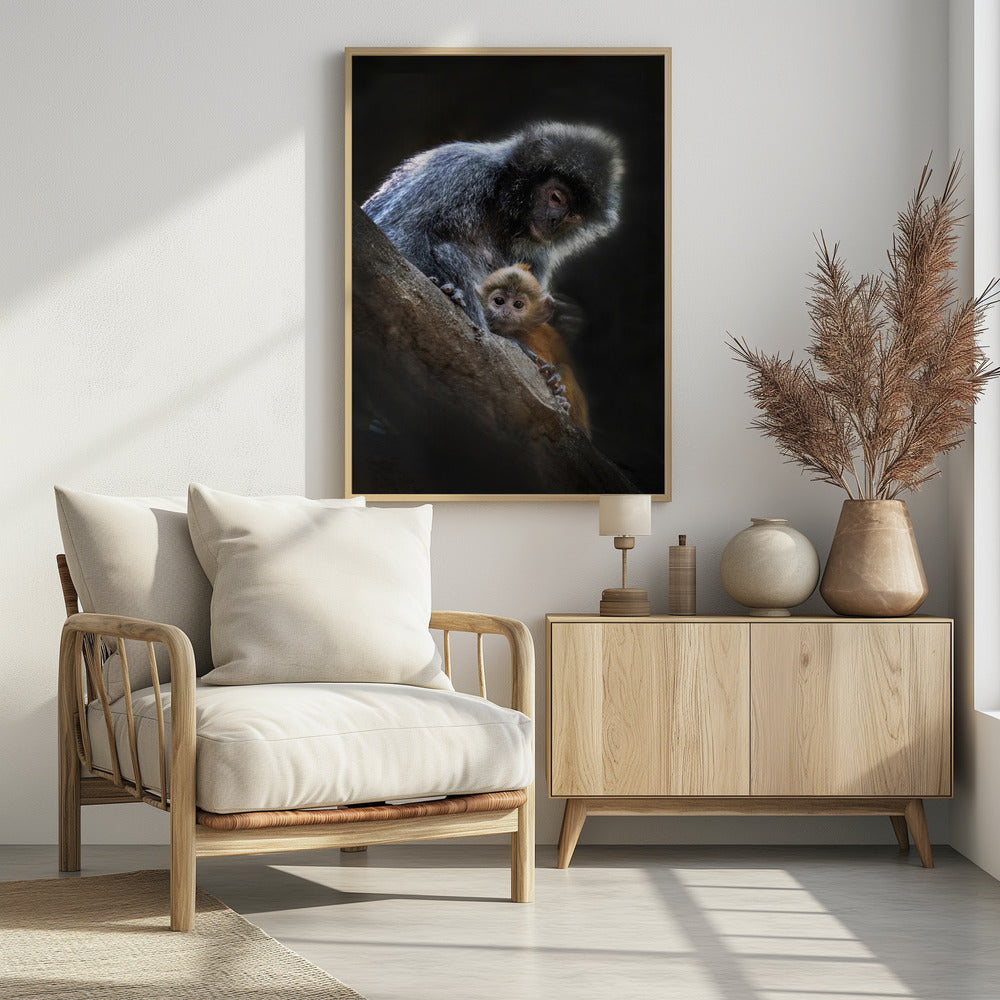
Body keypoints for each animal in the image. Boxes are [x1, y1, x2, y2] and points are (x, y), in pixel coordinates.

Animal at [362, 121, 623, 331]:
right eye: (556, 197)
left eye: (573, 216)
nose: (555, 222)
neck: (501, 208)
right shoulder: (460, 170)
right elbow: (396, 232)